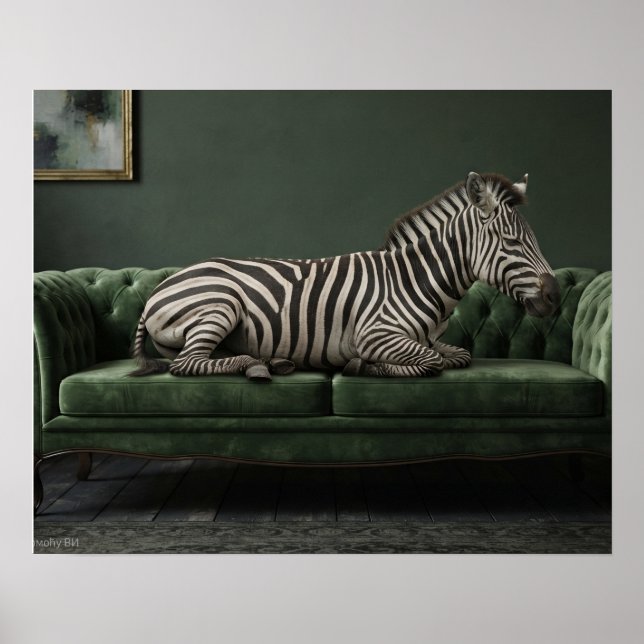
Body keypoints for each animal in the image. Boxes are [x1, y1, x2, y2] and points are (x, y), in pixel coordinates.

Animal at [130, 172, 560, 380]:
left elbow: (459, 355)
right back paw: (255, 365)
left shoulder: (437, 341)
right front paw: (361, 367)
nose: (556, 296)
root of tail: (155, 292)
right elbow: (431, 361)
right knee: (187, 364)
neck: (415, 280)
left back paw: (268, 362)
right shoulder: (375, 334)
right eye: (511, 242)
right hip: (219, 304)